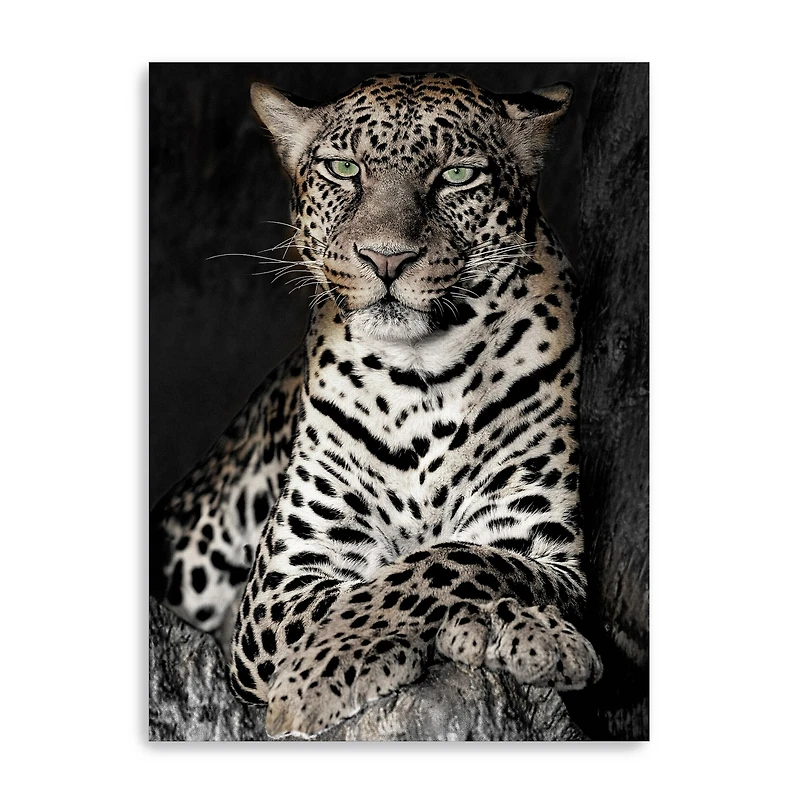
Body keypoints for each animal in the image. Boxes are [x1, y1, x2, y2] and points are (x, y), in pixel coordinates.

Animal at [150, 72, 602, 739]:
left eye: (456, 175)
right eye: (344, 169)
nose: (387, 257)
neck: (424, 378)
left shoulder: (545, 547)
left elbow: (451, 562)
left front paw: (520, 629)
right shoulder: (282, 584)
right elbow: (369, 590)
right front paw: (318, 677)